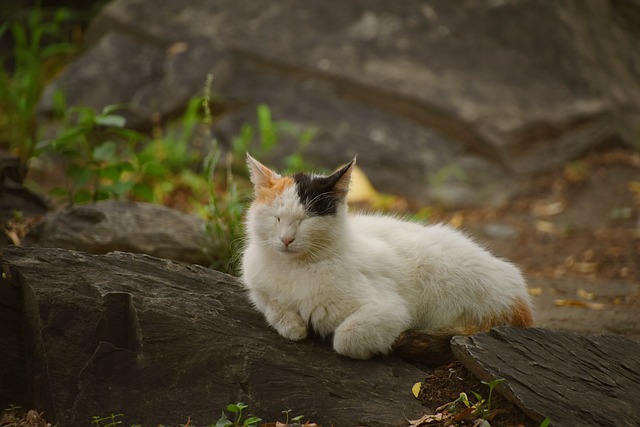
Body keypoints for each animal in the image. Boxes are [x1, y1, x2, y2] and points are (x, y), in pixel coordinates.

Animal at [242, 155, 532, 364]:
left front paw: (381, 345)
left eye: (305, 220)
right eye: (277, 218)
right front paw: (292, 325)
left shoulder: (390, 309)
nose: (286, 240)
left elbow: (345, 338)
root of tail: (520, 298)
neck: (293, 267)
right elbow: (269, 304)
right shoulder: (256, 283)